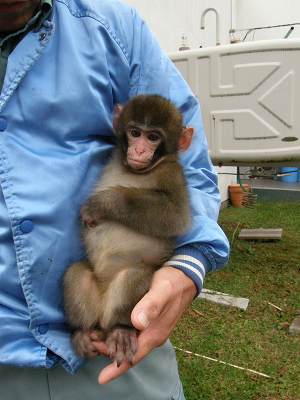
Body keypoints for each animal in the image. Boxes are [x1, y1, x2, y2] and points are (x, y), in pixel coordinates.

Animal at [63, 94, 195, 366]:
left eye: (153, 137)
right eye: (135, 133)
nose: (140, 150)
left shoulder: (172, 172)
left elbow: (175, 216)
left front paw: (103, 204)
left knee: (134, 276)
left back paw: (121, 330)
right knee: (76, 273)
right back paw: (82, 331)